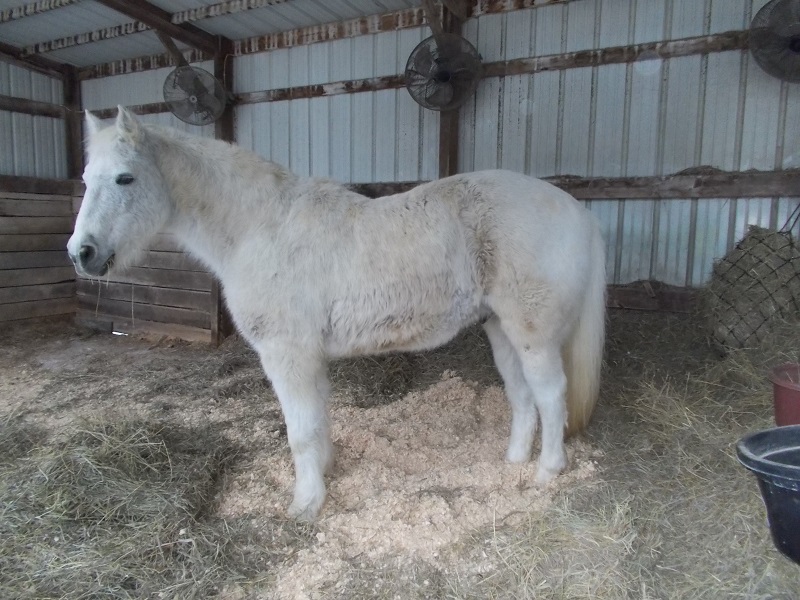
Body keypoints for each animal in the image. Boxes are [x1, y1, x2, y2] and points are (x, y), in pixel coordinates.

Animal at [70, 105, 608, 516]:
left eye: (125, 177)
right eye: (85, 178)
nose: (82, 253)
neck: (259, 229)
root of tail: (578, 212)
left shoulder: (287, 354)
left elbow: (301, 432)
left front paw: (306, 504)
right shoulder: (309, 357)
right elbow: (318, 423)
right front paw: (324, 476)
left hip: (533, 333)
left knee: (551, 395)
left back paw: (546, 472)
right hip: (501, 329)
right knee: (522, 396)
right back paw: (513, 462)